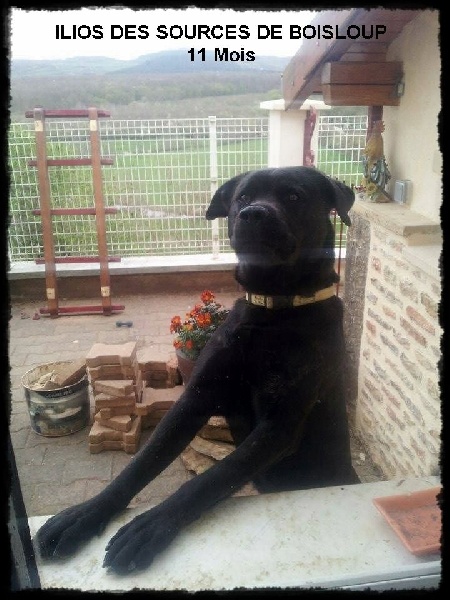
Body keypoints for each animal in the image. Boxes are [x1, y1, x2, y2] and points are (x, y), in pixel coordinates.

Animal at [36, 166, 358, 575]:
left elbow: (209, 480)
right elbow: (140, 465)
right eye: (242, 196)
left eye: (294, 196)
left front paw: (151, 526)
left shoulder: (280, 428)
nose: (253, 214)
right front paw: (84, 516)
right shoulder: (196, 399)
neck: (270, 314)